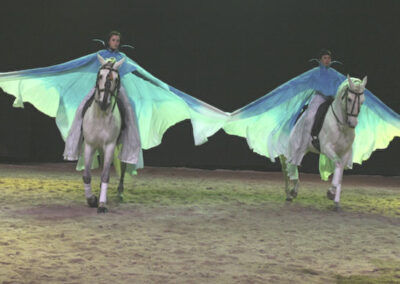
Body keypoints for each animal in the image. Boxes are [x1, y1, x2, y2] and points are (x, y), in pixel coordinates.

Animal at [83, 53, 127, 213]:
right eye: (100, 75)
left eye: (115, 79)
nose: (103, 103)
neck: (100, 117)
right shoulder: (89, 145)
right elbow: (87, 175)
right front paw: (91, 200)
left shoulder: (110, 145)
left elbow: (106, 175)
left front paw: (101, 204)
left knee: (123, 165)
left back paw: (120, 192)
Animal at [280, 75, 368, 209]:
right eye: (349, 99)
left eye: (362, 101)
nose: (353, 123)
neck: (341, 126)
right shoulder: (327, 148)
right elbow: (338, 164)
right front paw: (331, 192)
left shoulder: (345, 152)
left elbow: (340, 171)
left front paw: (336, 200)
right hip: (294, 146)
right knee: (289, 165)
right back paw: (291, 192)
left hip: (303, 148)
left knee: (290, 165)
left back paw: (291, 192)